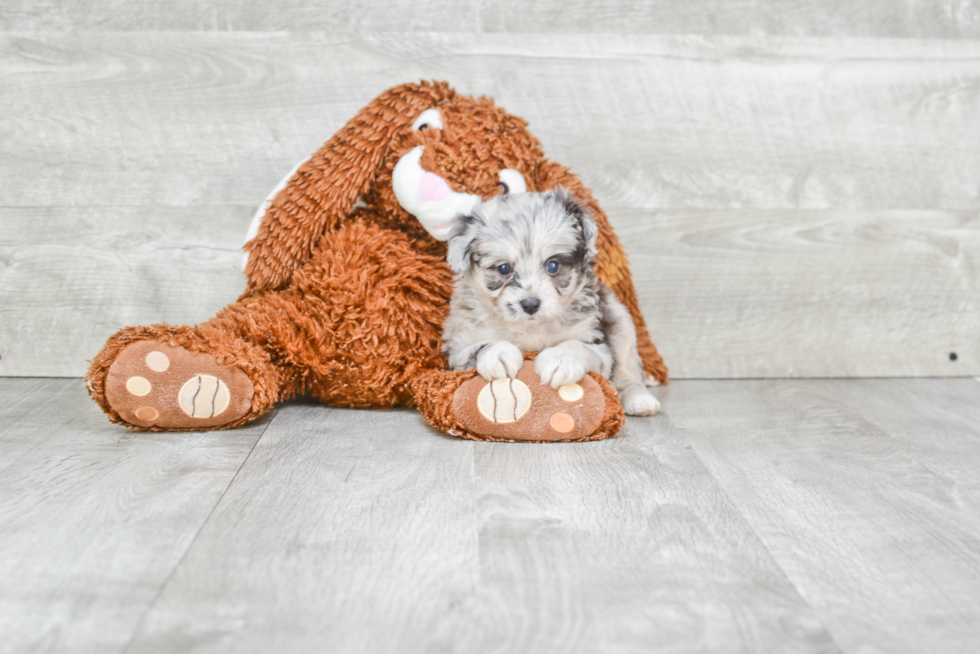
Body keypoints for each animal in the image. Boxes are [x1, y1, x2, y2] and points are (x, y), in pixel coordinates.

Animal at [442, 187, 660, 418]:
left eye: (553, 265)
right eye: (504, 268)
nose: (530, 304)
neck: (531, 329)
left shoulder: (596, 343)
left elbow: (577, 346)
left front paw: (560, 359)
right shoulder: (458, 348)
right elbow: (480, 346)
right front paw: (498, 353)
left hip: (621, 322)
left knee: (629, 371)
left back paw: (640, 399)